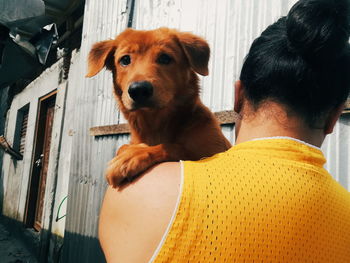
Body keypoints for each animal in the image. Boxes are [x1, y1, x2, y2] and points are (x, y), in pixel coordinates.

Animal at [86, 27, 231, 188]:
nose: (139, 90)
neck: (155, 124)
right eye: (125, 60)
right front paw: (129, 150)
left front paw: (133, 155)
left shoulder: (214, 152)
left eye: (165, 58)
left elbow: (175, 147)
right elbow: (122, 147)